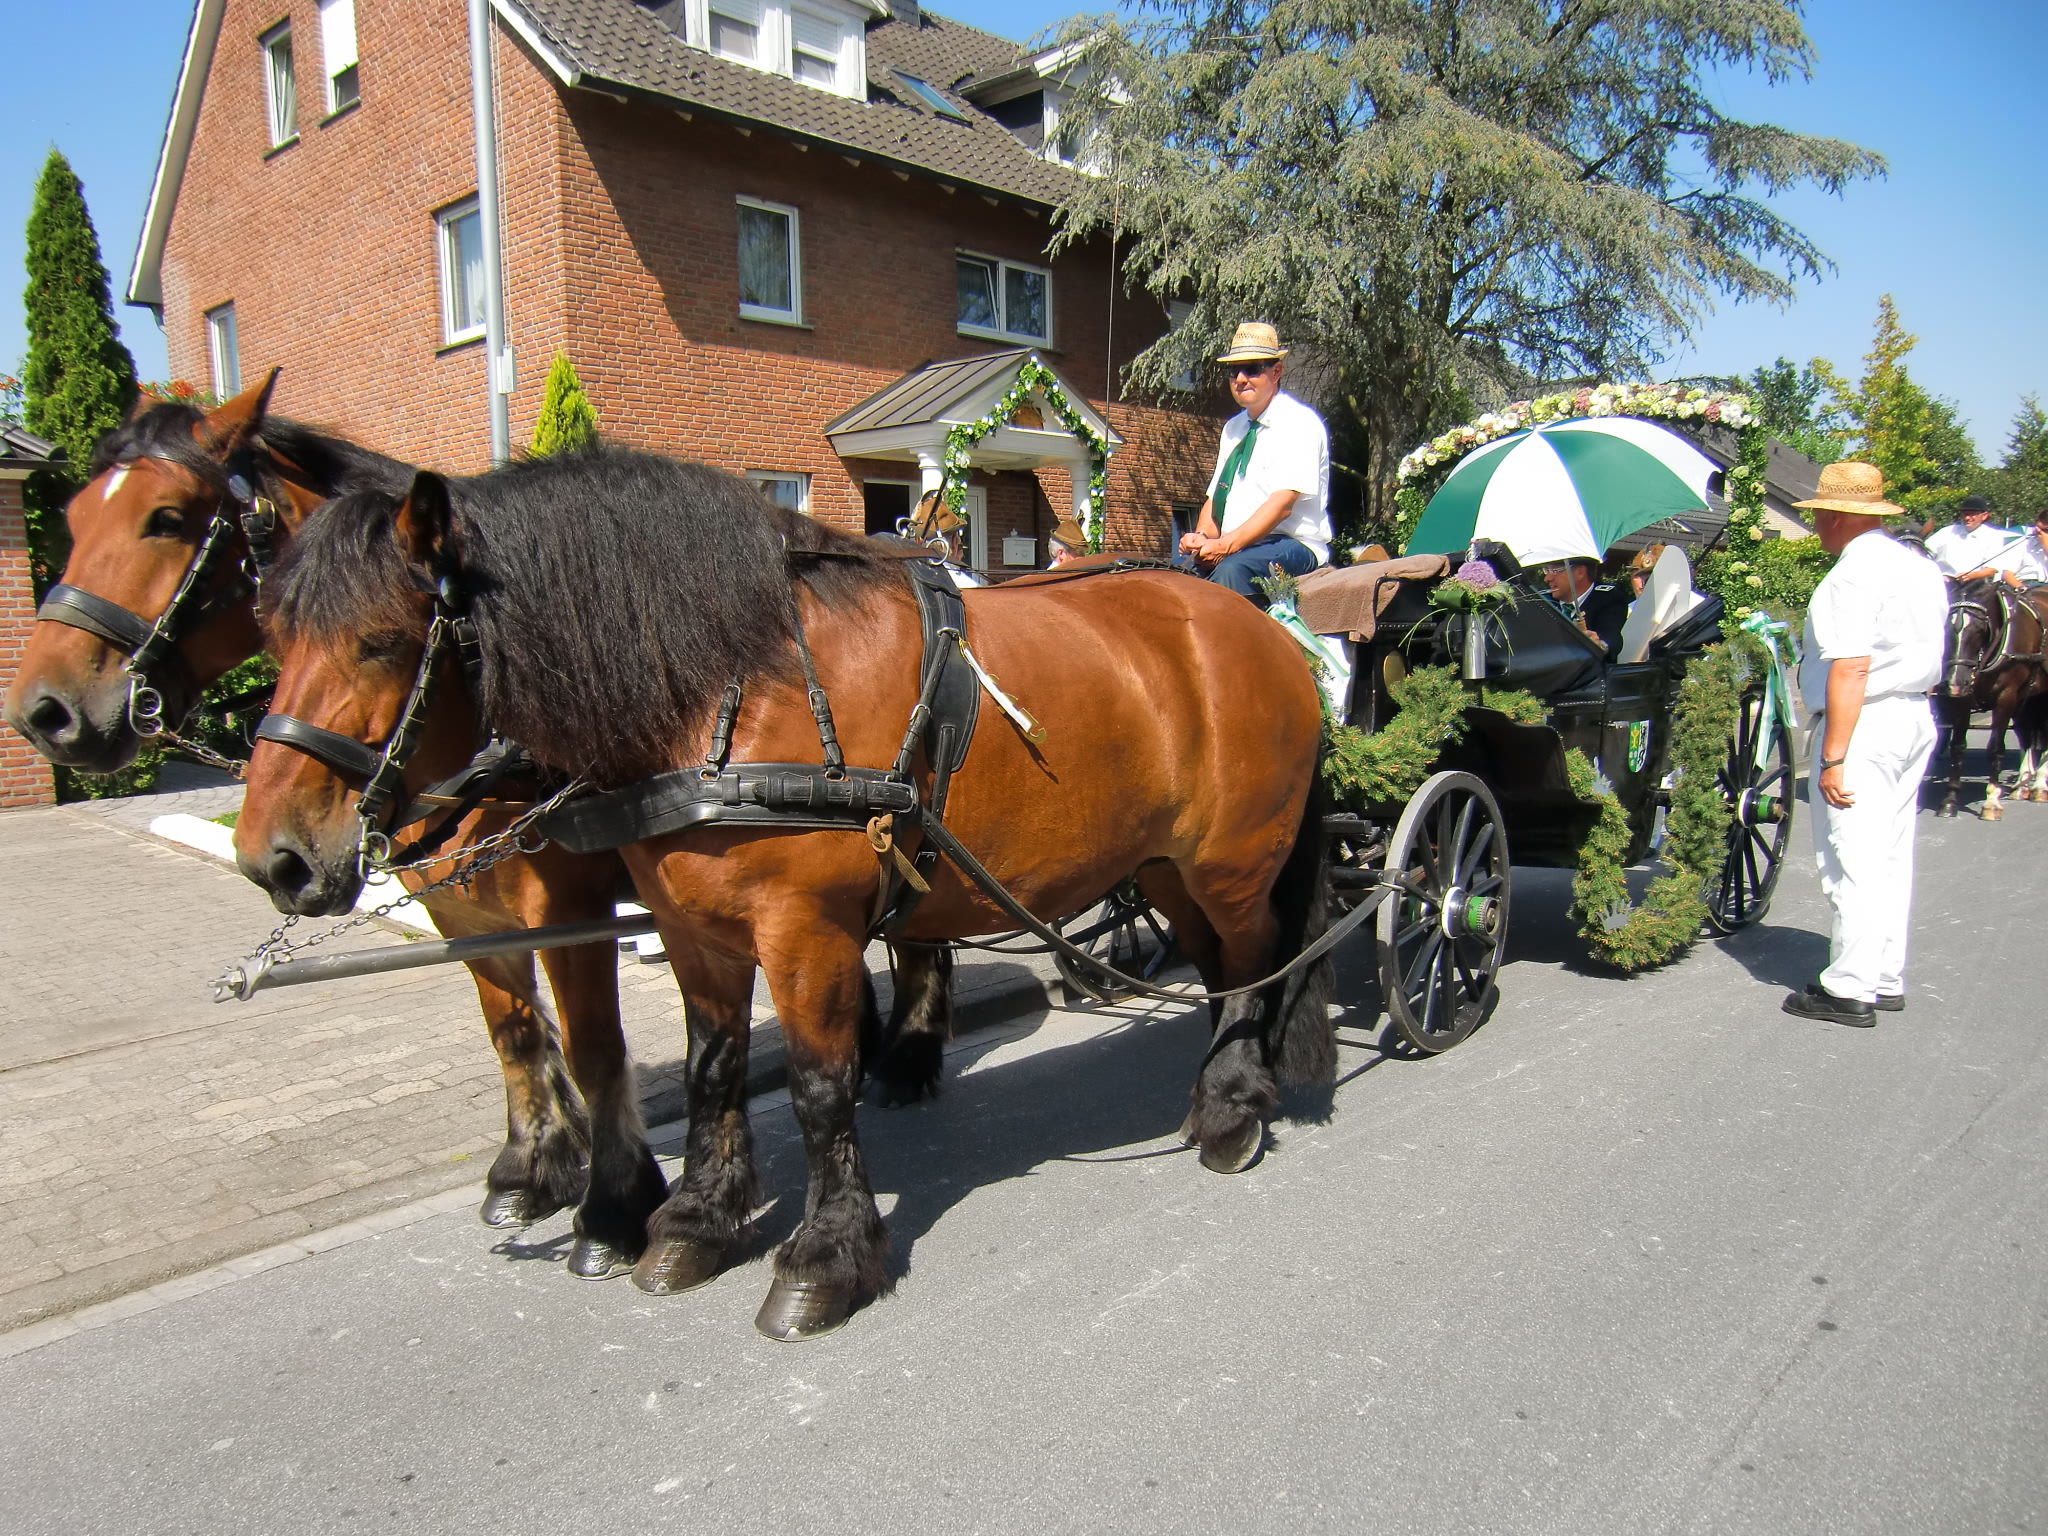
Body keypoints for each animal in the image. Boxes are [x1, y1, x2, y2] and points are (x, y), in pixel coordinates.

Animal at [0, 378, 672, 1276]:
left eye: (167, 518)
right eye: (72, 518)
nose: (45, 713)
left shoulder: (569, 909)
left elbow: (597, 1048)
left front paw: (614, 1207)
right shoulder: (461, 907)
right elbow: (513, 1032)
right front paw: (528, 1171)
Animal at [230, 452, 1336, 1340]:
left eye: (381, 640)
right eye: (270, 632)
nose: (271, 858)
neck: (728, 690)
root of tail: (1255, 628)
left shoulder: (798, 933)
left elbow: (812, 1088)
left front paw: (821, 1258)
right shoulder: (692, 932)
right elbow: (709, 1069)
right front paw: (694, 1219)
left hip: (1231, 862)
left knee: (1253, 964)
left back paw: (1234, 1107)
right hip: (1163, 868)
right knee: (1219, 965)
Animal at [1931, 578, 2048, 819]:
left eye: (1979, 629)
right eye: (1945, 627)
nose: (1954, 683)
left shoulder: (2006, 697)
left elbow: (1995, 748)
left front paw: (1992, 801)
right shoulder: (1962, 701)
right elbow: (1958, 747)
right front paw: (1950, 800)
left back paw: (2040, 784)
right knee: (2026, 734)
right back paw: (2022, 786)